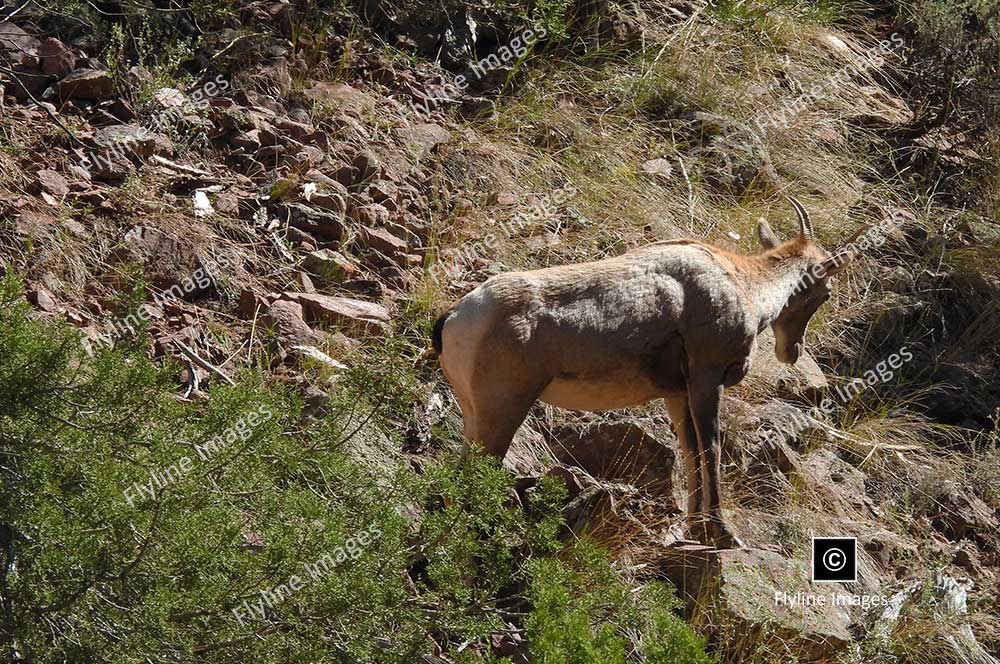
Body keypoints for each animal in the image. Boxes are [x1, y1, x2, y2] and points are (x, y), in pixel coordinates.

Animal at [434, 198, 856, 548]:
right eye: (826, 293)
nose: (792, 351)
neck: (744, 285)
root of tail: (456, 316)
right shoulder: (706, 379)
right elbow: (711, 448)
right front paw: (722, 534)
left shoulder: (677, 395)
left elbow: (690, 451)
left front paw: (692, 529)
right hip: (503, 413)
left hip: (476, 416)